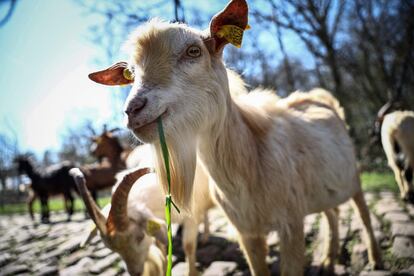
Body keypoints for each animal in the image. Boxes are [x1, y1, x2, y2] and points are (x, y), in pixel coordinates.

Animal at [87, 0, 382, 274]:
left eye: (194, 50)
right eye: (131, 73)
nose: (133, 110)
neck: (250, 158)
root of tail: (320, 98)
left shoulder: (292, 226)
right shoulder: (247, 232)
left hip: (353, 179)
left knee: (363, 214)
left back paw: (375, 259)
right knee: (332, 213)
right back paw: (329, 259)